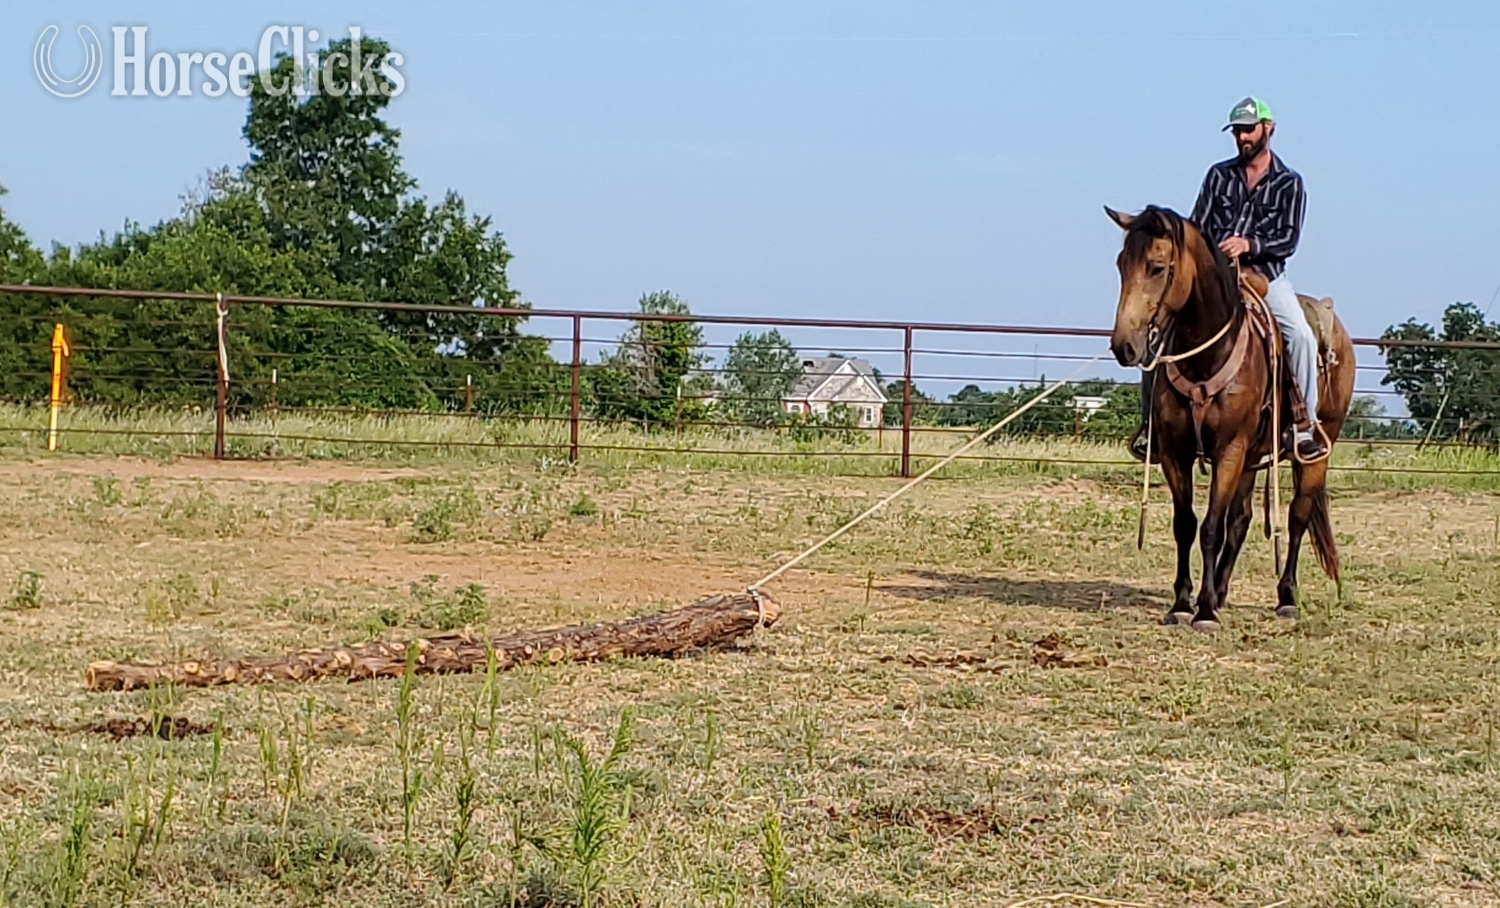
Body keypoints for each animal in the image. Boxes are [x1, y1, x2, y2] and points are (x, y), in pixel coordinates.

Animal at [1104, 205, 1356, 630]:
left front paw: (1204, 611)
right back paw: (1221, 592)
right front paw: (1183, 603)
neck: (1207, 356)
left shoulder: (1229, 449)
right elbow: (1186, 524)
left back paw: (1286, 597)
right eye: (1121, 264)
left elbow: (1211, 528)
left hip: (1315, 450)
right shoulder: (1175, 451)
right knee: (1241, 519)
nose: (1124, 346)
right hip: (1253, 458)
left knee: (1297, 515)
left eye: (1157, 267)